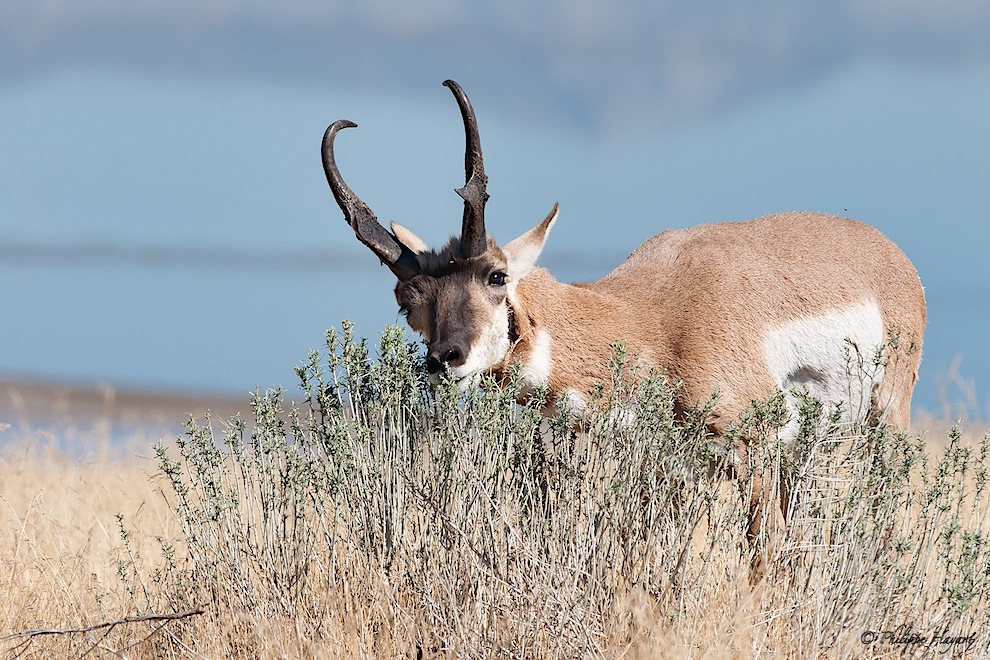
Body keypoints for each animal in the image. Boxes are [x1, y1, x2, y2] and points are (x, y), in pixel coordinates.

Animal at [324, 78, 928, 568]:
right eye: (407, 301)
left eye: (497, 276)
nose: (445, 360)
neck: (651, 319)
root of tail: (889, 253)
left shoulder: (752, 453)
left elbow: (763, 553)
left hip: (883, 421)